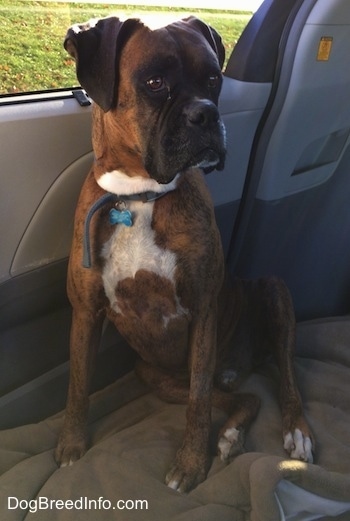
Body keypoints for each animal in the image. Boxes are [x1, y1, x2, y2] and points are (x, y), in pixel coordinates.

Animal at [56, 15, 314, 492]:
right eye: (155, 83)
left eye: (213, 80)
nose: (206, 113)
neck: (139, 197)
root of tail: (240, 364)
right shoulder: (84, 313)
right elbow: (78, 384)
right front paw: (70, 444)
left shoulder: (203, 310)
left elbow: (198, 404)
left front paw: (191, 465)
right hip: (154, 375)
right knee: (242, 396)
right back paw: (230, 432)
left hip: (273, 293)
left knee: (282, 377)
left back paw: (294, 431)